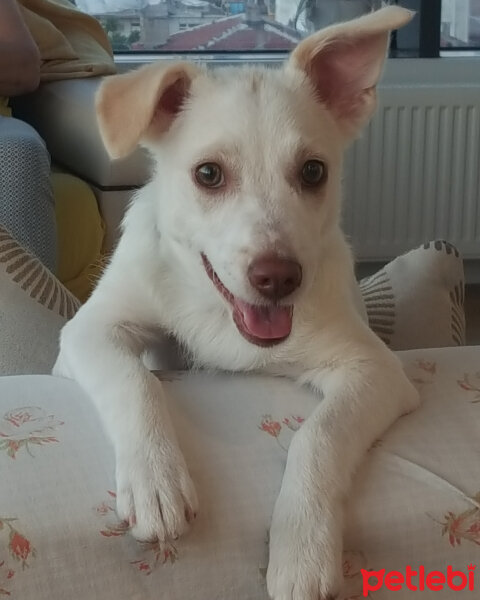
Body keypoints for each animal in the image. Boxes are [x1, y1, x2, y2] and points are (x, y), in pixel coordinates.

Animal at [54, 7, 418, 596]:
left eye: (313, 171)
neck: (216, 314)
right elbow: (135, 380)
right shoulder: (87, 332)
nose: (278, 279)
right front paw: (155, 478)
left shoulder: (375, 370)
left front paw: (302, 546)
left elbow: (318, 436)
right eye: (208, 174)